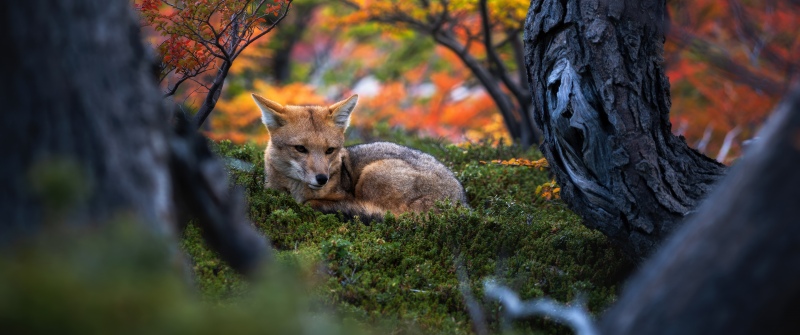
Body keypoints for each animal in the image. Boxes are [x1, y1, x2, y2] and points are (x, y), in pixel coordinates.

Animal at [252, 93, 468, 222]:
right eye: (300, 149)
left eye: (330, 150)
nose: (322, 179)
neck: (297, 191)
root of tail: (462, 202)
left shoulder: (344, 195)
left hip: (371, 175)